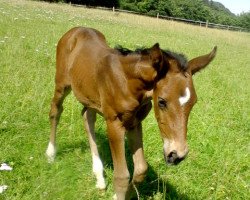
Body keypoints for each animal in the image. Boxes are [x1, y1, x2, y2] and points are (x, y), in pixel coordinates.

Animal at [45, 27, 217, 200]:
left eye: (193, 103)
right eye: (162, 101)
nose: (176, 155)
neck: (128, 83)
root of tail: (76, 30)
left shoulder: (134, 123)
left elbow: (141, 170)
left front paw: (117, 195)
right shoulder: (114, 123)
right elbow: (122, 176)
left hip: (89, 96)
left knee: (87, 117)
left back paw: (99, 177)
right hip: (62, 84)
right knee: (55, 111)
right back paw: (51, 154)